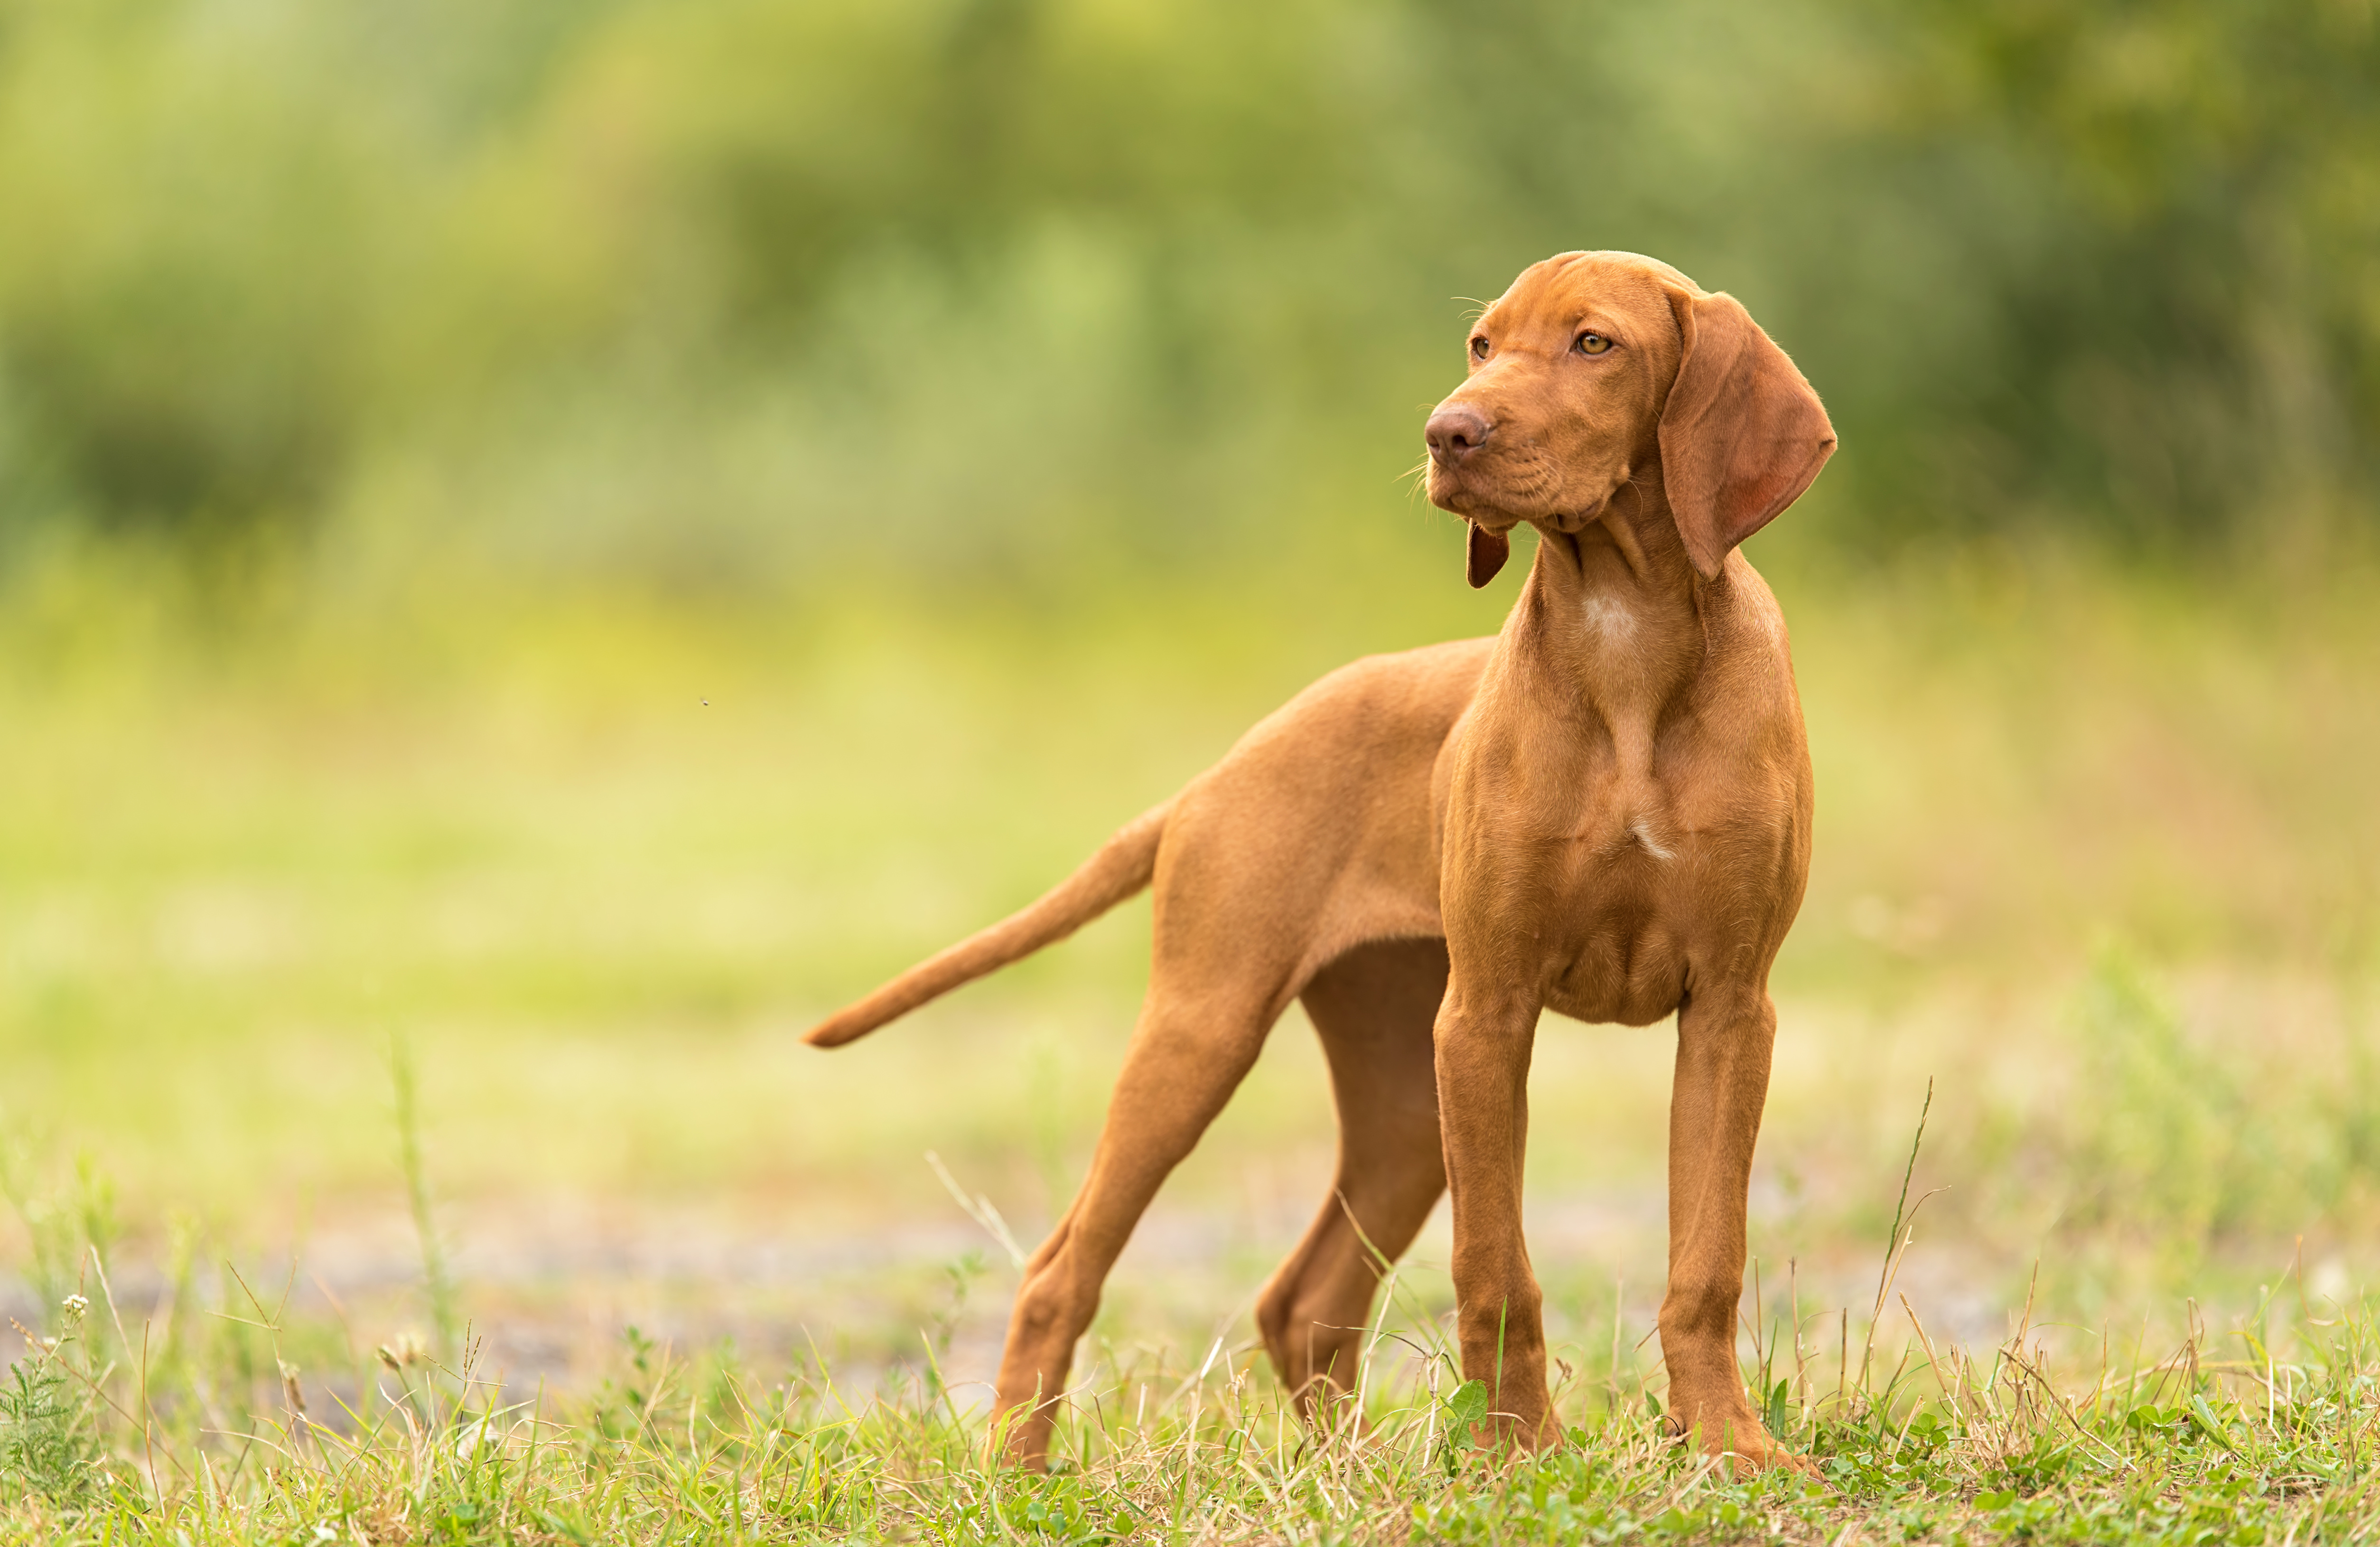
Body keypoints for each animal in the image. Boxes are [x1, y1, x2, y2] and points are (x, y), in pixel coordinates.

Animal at [809, 247, 1828, 1466]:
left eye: (1595, 344)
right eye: (1482, 344)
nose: (1447, 431)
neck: (1623, 639)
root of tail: (1214, 776)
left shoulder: (1729, 1011)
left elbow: (1706, 1259)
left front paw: (1723, 1441)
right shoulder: (1488, 1012)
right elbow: (1494, 1266)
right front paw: (1514, 1456)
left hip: (1405, 1099)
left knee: (1304, 1299)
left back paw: (1345, 1466)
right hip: (1217, 1033)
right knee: (1064, 1270)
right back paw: (1020, 1468)